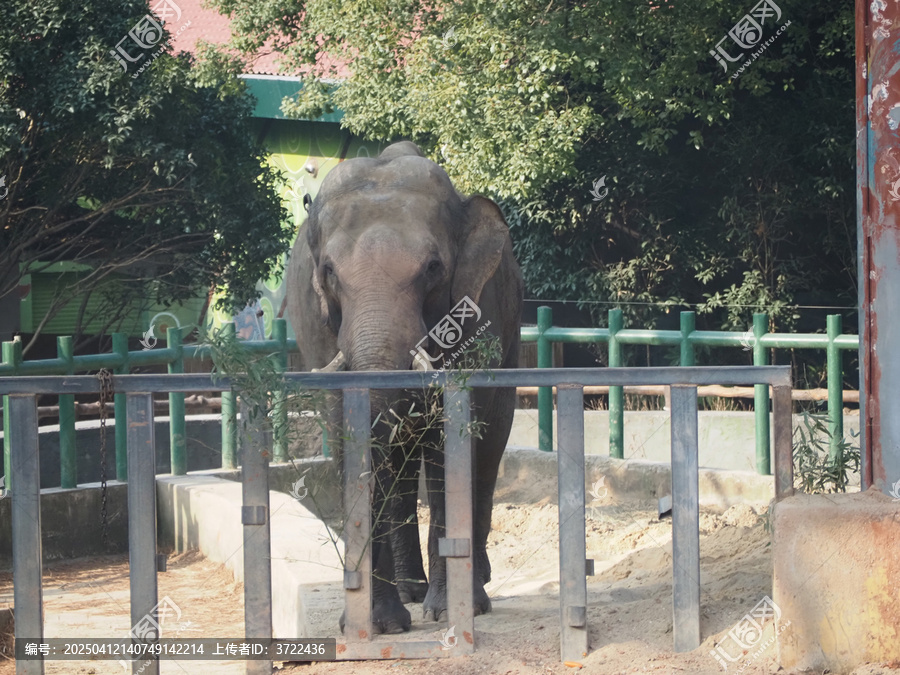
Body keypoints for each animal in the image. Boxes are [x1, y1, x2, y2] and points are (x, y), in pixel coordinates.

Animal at [285, 141, 524, 634]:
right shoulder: (319, 328)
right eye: (329, 271)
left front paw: (450, 612)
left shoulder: (475, 312)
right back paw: (413, 592)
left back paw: (471, 589)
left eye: (433, 268)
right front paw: (380, 625)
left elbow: (455, 436)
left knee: (490, 442)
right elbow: (350, 434)